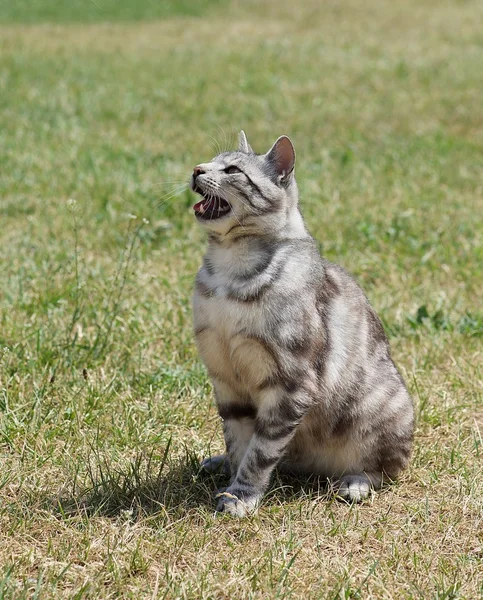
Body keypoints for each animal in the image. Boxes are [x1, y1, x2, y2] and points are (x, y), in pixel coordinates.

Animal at [191, 131, 414, 516]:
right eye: (209, 160)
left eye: (232, 170)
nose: (195, 169)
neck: (229, 270)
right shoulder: (226, 380)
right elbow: (240, 444)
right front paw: (232, 481)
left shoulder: (290, 382)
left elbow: (260, 452)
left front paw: (241, 496)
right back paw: (217, 462)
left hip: (380, 411)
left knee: (384, 468)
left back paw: (354, 483)